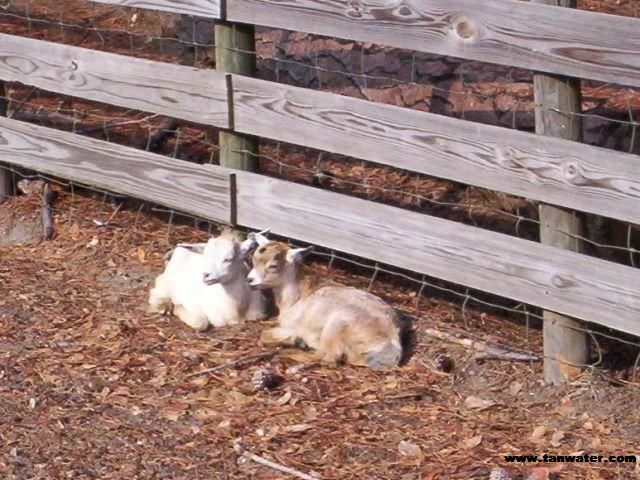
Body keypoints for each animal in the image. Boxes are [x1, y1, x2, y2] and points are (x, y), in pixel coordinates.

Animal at [248, 234, 402, 370]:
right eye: (254, 259)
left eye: (273, 266)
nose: (249, 280)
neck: (299, 295)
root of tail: (391, 342)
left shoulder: (295, 326)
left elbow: (264, 335)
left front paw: (296, 341)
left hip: (336, 324)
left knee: (329, 358)